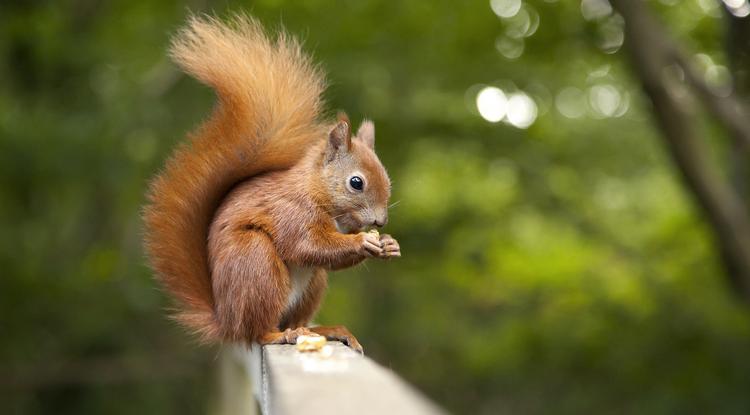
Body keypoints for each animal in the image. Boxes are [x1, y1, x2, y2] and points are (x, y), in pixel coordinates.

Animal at [141, 14, 400, 352]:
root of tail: (227, 321)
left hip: (311, 284)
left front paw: (389, 244)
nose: (380, 222)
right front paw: (363, 241)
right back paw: (280, 335)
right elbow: (309, 245)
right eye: (356, 183)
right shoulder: (291, 212)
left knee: (294, 317)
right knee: (259, 331)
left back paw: (324, 330)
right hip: (256, 263)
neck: (316, 191)